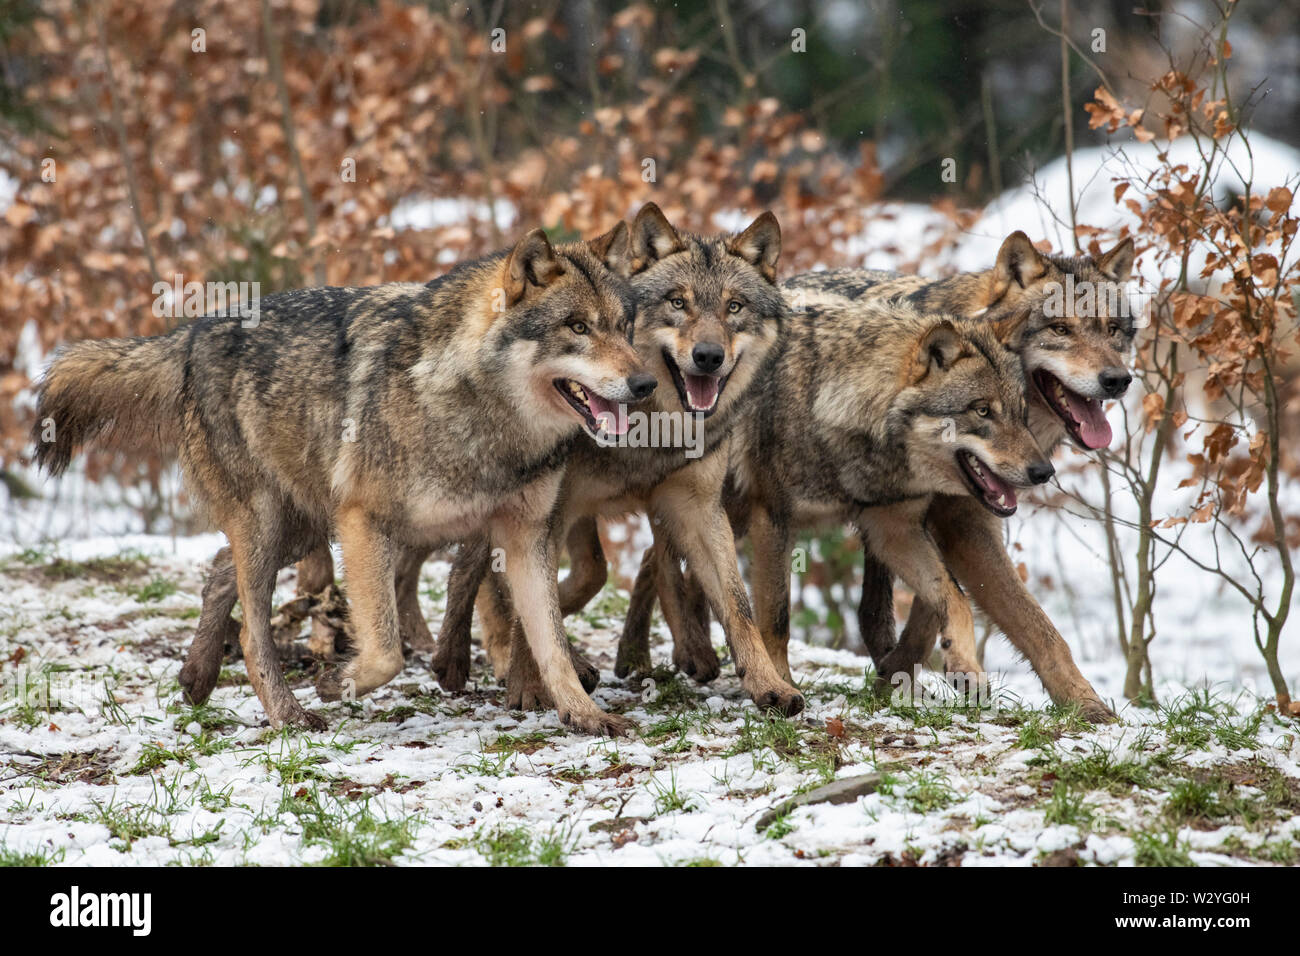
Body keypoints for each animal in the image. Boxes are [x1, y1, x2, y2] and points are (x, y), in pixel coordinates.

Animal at [34, 223, 655, 733]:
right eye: (577, 327)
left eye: (625, 328)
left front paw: (586, 715)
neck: (483, 415)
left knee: (217, 570)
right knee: (251, 631)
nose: (647, 383)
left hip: (301, 527)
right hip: (277, 525)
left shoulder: (526, 537)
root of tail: (189, 334)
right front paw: (338, 684)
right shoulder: (363, 523)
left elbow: (551, 643)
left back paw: (197, 676)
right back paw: (288, 715)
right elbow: (386, 650)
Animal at [434, 201, 800, 712]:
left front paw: (770, 685)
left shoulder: (699, 507)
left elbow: (737, 603)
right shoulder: (549, 508)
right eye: (677, 303)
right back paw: (457, 659)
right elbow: (536, 598)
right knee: (476, 567)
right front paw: (529, 687)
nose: (708, 356)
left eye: (734, 307)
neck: (650, 431)